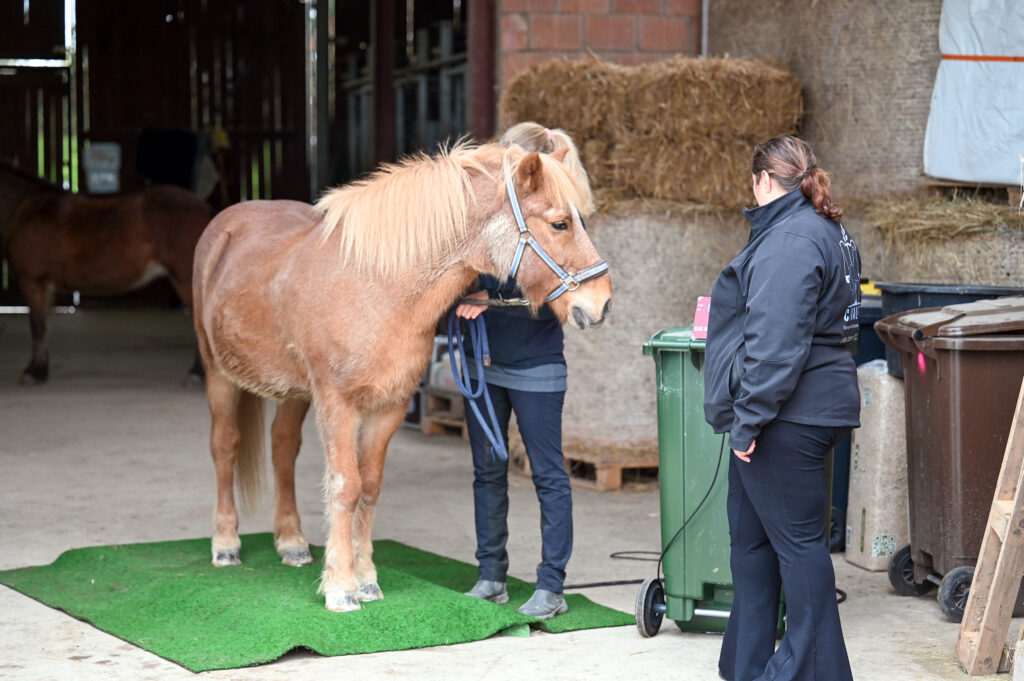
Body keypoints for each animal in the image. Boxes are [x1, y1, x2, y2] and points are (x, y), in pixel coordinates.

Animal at [0, 157, 211, 382]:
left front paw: (34, 373)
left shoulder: (32, 281)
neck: (23, 207)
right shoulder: (44, 286)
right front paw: (40, 369)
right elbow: (44, 327)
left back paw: (196, 374)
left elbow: (37, 328)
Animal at [191, 139, 606, 610]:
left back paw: (292, 543)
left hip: (294, 392)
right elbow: (345, 485)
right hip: (219, 374)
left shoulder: (390, 404)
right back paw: (226, 544)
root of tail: (227, 222)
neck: (378, 286)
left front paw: (366, 579)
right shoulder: (337, 403)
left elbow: (369, 486)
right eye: (559, 223)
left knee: (282, 450)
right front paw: (340, 586)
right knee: (225, 446)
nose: (601, 302)